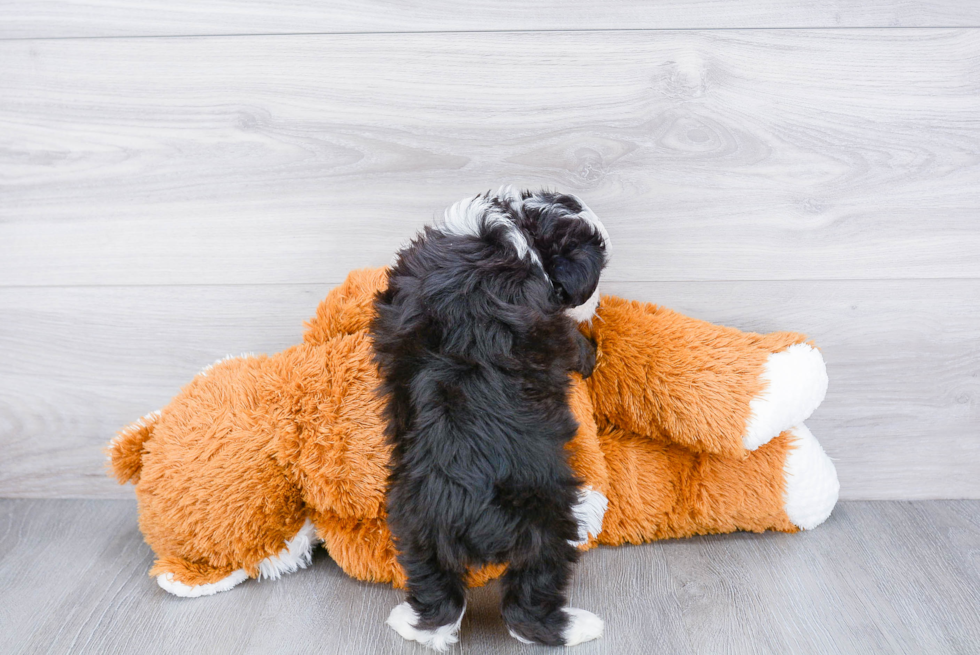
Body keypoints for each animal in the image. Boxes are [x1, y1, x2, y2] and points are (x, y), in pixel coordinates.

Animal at [370, 187, 608, 648]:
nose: (596, 303)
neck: (516, 232)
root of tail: (466, 511)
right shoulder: (555, 329)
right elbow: (574, 345)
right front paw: (591, 354)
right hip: (544, 525)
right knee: (526, 607)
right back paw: (581, 622)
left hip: (415, 528)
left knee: (440, 601)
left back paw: (409, 622)